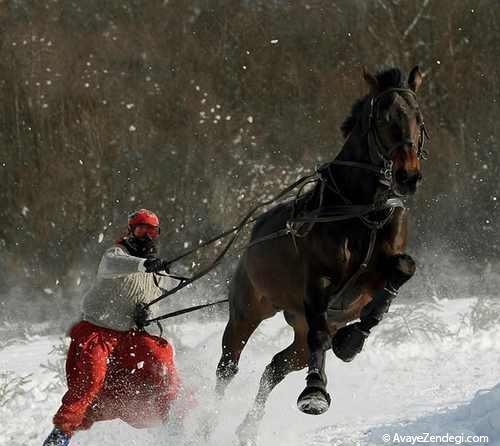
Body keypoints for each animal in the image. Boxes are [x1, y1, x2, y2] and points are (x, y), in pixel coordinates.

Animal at [214, 64, 426, 444]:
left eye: (419, 117)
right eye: (384, 118)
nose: (408, 176)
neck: (364, 211)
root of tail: (256, 228)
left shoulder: (379, 271)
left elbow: (402, 268)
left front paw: (352, 340)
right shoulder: (318, 282)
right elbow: (321, 335)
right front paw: (314, 392)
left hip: (295, 333)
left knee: (275, 366)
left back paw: (248, 427)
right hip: (248, 309)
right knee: (228, 367)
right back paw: (196, 425)